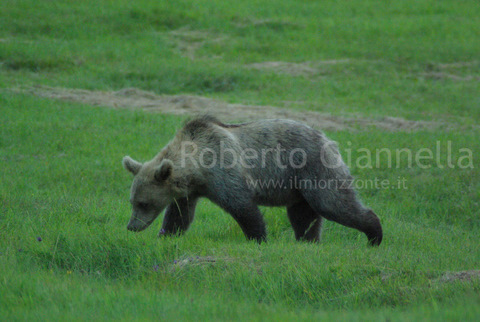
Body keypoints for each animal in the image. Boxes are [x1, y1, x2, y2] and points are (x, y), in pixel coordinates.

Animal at [123, 117, 382, 245]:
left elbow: (244, 209)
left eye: (144, 203)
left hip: (313, 168)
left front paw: (258, 239)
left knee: (333, 203)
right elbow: (180, 216)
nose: (131, 226)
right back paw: (308, 241)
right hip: (298, 188)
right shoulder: (190, 192)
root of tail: (328, 139)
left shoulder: (225, 173)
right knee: (303, 216)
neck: (198, 170)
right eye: (132, 201)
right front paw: (165, 236)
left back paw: (374, 235)